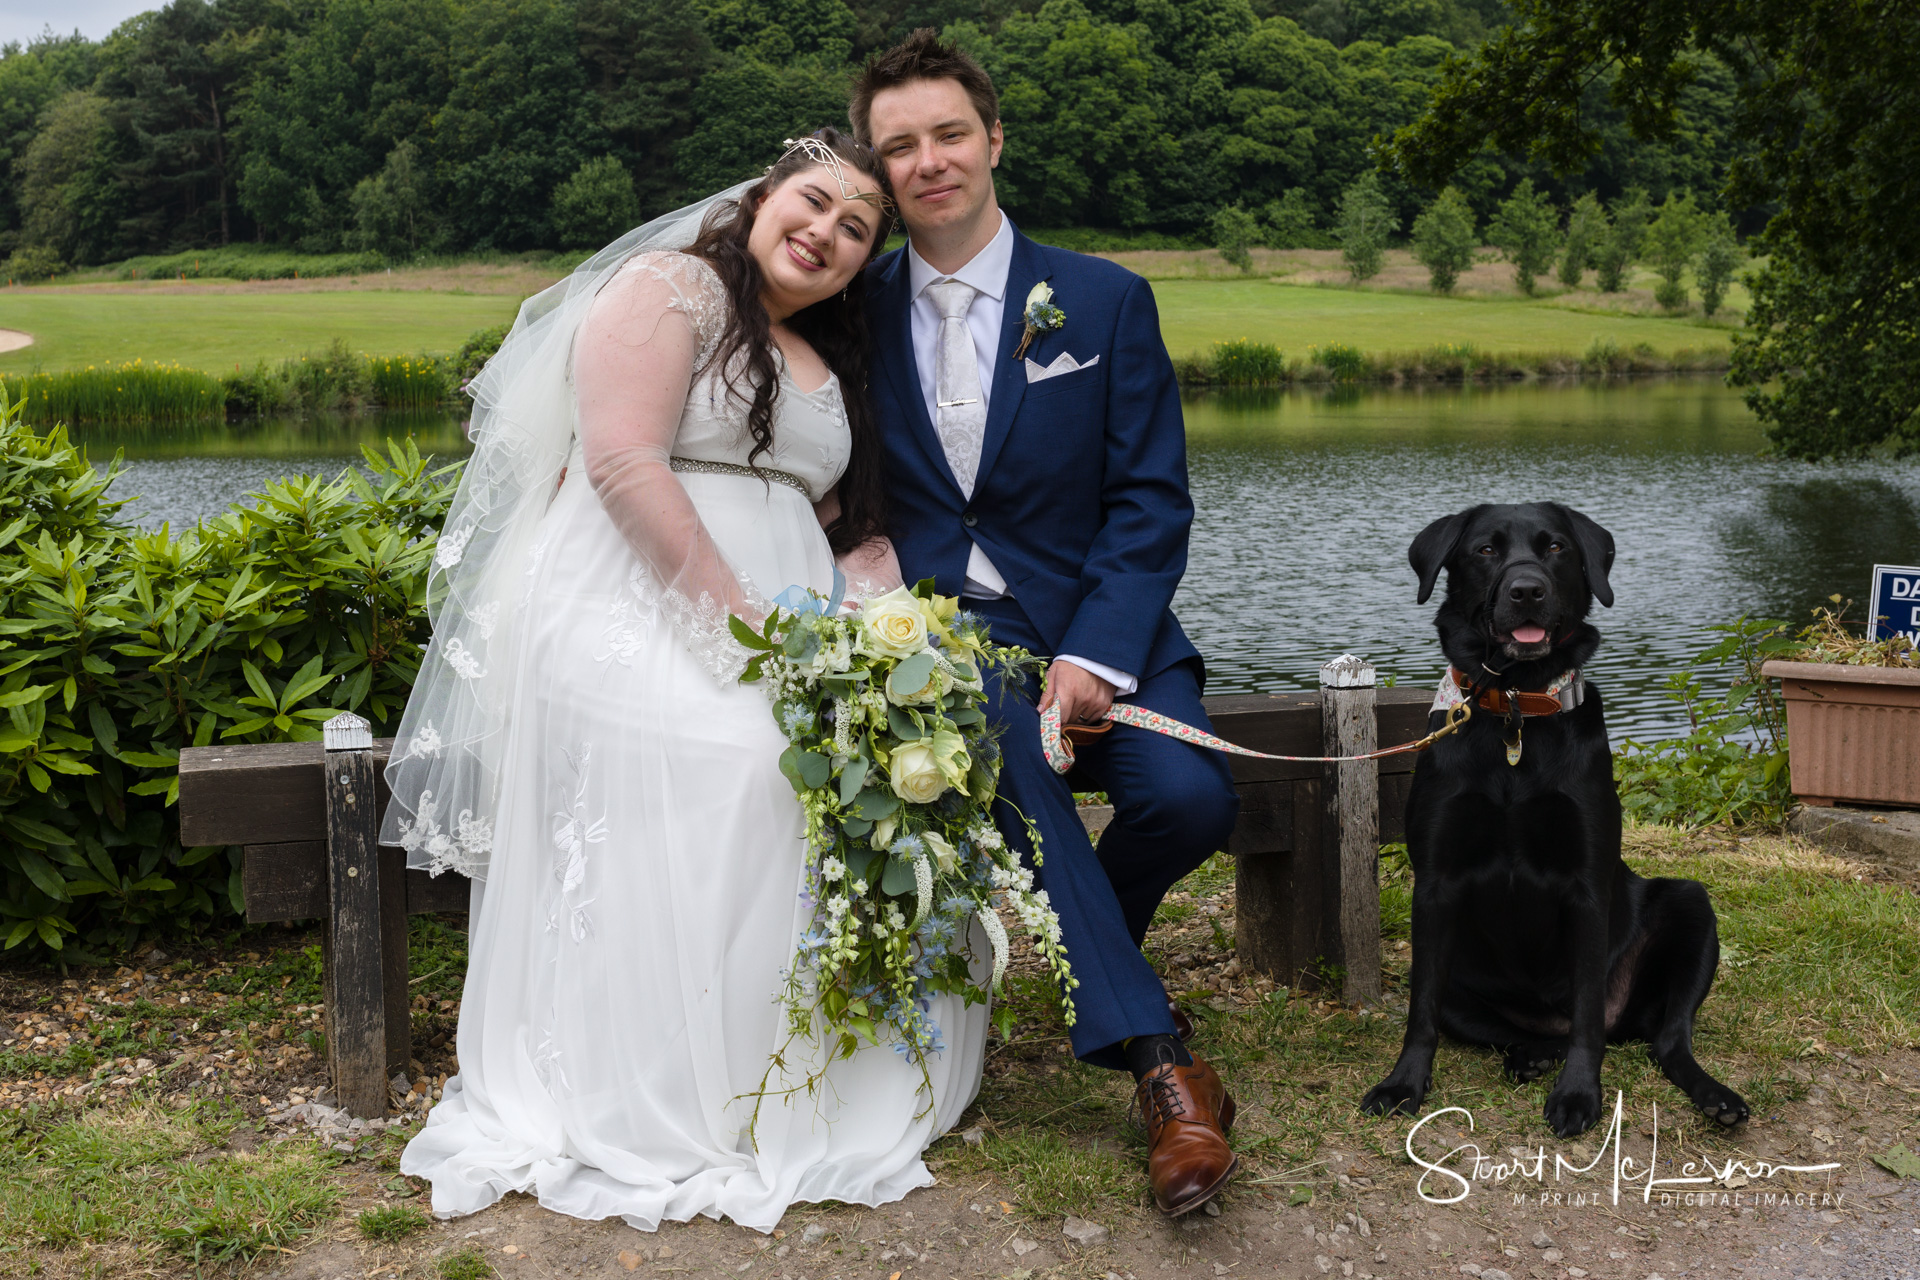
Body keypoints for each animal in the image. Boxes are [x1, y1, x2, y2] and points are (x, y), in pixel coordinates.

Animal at [1359, 506, 1751, 1136]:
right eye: (1485, 550)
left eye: (1556, 548)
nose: (1526, 591)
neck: (1517, 712)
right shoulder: (1435, 887)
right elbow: (1420, 1014)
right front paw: (1403, 1084)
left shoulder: (1587, 886)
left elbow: (1588, 1013)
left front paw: (1578, 1095)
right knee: (1514, 1029)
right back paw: (1531, 1054)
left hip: (1691, 905)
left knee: (1663, 1039)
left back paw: (1714, 1095)